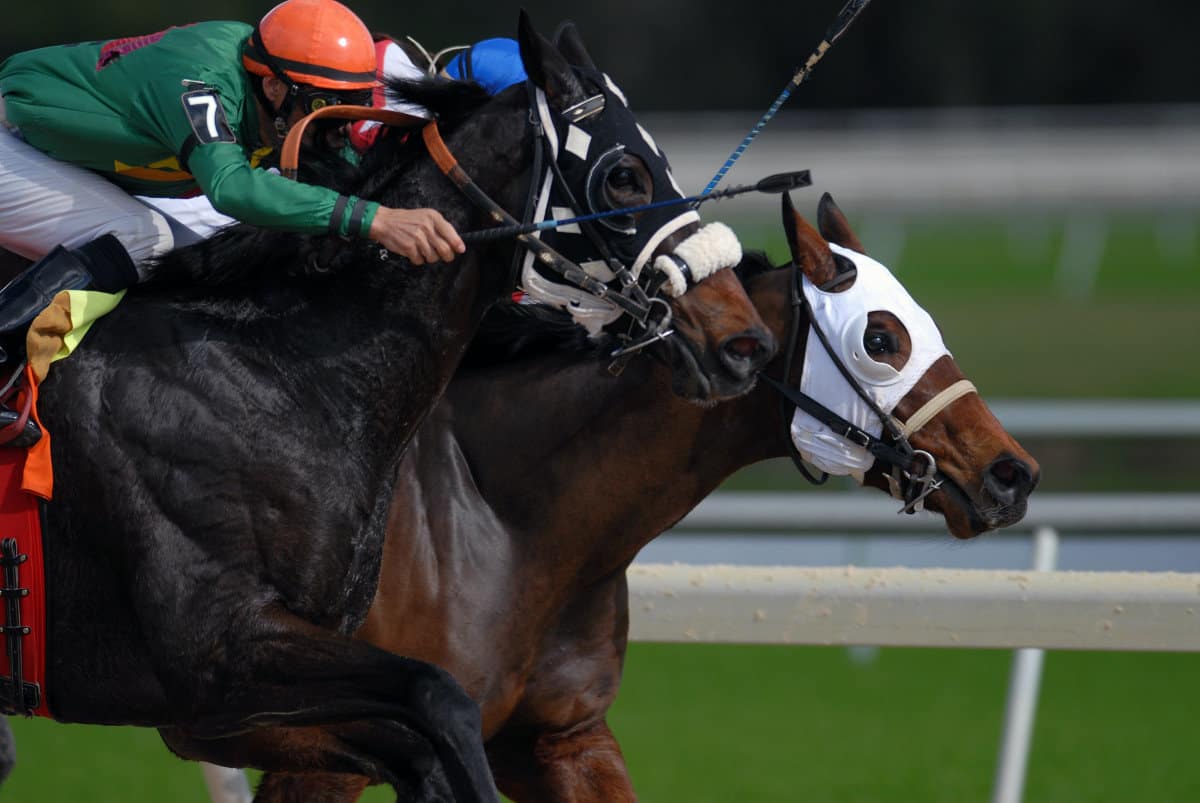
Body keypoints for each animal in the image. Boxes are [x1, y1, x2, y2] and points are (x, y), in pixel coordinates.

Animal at [4, 14, 772, 801]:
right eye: (623, 174)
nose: (742, 341)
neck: (277, 374)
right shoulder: (217, 657)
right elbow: (440, 698)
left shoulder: (254, 696)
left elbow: (422, 742)